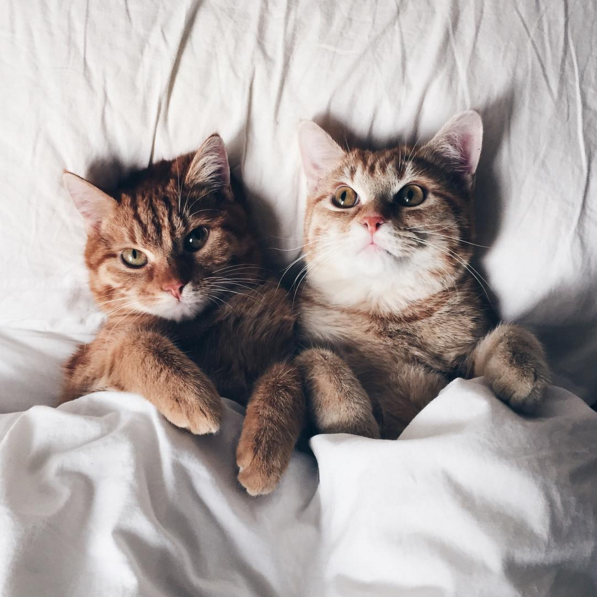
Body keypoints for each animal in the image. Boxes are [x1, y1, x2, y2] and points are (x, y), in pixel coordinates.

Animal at [60, 134, 305, 496]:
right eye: (133, 257)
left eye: (197, 237)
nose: (175, 286)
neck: (201, 324)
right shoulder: (81, 377)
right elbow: (135, 343)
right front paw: (189, 392)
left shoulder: (283, 352)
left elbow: (284, 380)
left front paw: (264, 450)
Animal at [294, 111, 551, 440]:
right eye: (344, 197)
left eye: (411, 194)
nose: (372, 220)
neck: (387, 310)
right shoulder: (301, 348)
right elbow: (319, 359)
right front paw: (351, 422)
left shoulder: (458, 375)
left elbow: (512, 331)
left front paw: (520, 370)